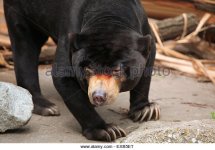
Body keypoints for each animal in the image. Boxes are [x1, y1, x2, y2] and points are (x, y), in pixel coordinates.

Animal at [3, 0, 160, 141]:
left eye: (116, 70)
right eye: (88, 68)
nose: (98, 96)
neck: (110, 14)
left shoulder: (145, 30)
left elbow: (146, 70)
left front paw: (146, 111)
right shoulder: (70, 35)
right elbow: (64, 77)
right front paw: (107, 130)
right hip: (20, 10)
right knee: (24, 47)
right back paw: (47, 107)